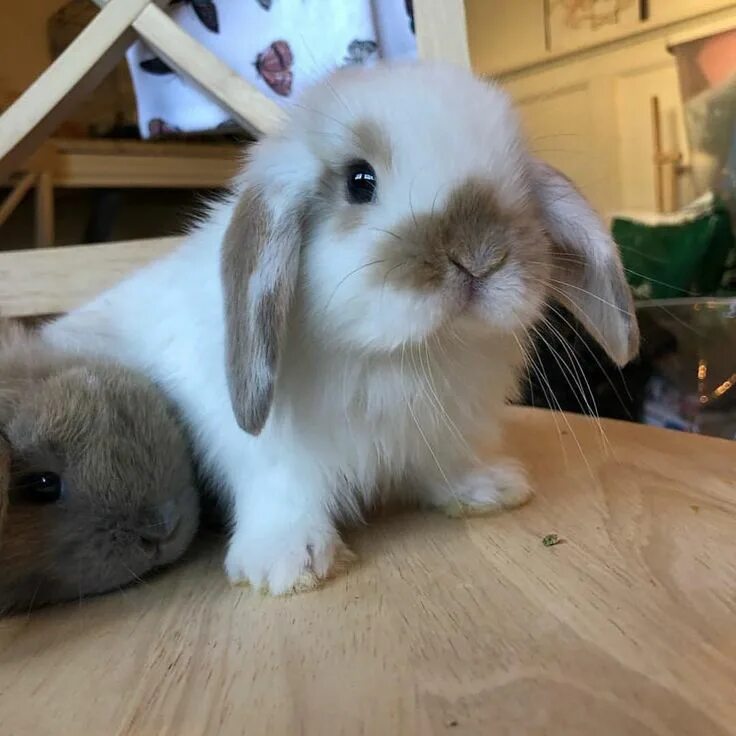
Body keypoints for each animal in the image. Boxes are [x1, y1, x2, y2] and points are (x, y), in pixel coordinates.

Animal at [41, 61, 640, 592]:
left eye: (518, 181)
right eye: (359, 180)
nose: (480, 256)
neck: (402, 354)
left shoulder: (443, 432)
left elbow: (447, 464)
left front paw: (487, 490)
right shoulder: (270, 455)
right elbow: (283, 492)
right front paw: (288, 566)